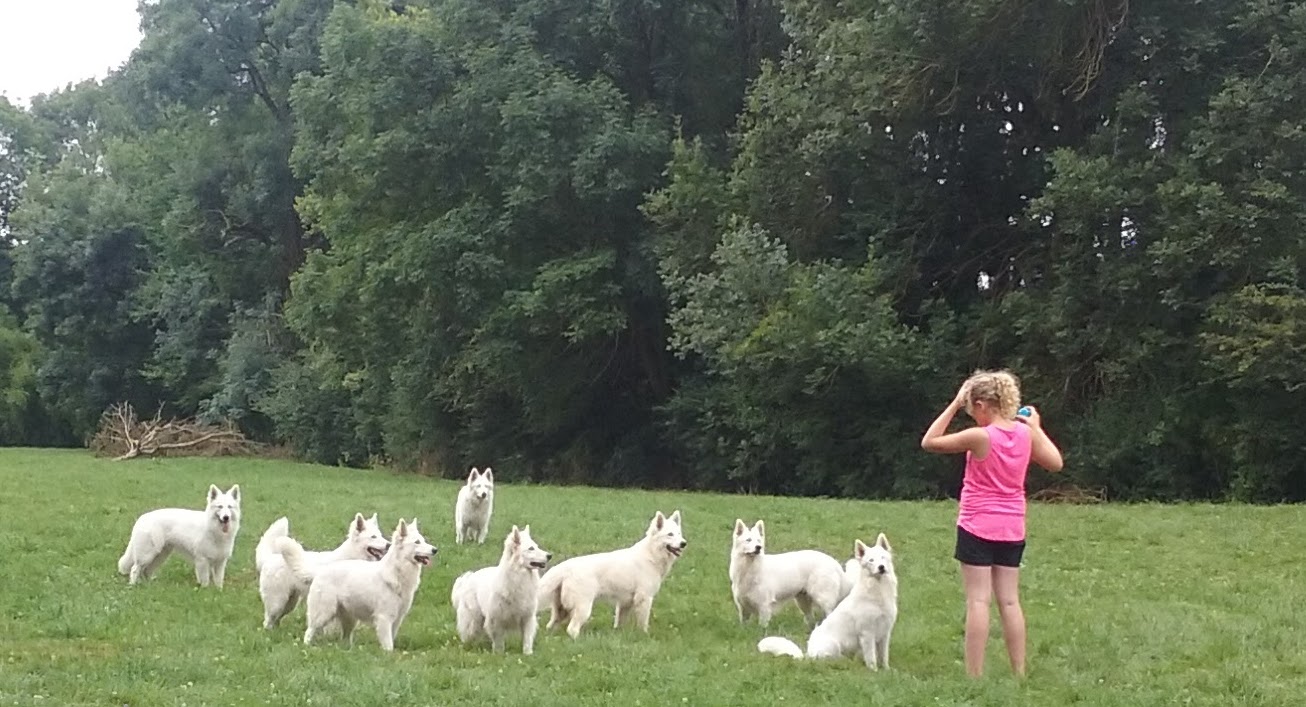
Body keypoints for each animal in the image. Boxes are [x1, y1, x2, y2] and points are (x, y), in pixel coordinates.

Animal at [253, 512, 386, 627]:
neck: (350, 557)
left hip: (289, 603)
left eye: (381, 536)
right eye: (373, 537)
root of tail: (270, 557)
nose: (388, 544)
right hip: (277, 603)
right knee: (268, 621)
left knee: (276, 620)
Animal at [280, 517, 438, 650]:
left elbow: (392, 641)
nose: (435, 550)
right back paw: (307, 647)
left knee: (345, 637)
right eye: (417, 542)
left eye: (423, 541)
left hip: (349, 619)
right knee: (309, 631)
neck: (397, 573)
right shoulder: (384, 618)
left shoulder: (397, 619)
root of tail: (321, 569)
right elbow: (388, 646)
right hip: (323, 613)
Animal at [757, 533, 898, 669]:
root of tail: (808, 654)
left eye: (883, 557)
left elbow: (884, 657)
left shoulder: (885, 633)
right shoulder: (867, 634)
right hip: (834, 644)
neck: (878, 593)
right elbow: (872, 659)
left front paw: (886, 671)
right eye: (871, 561)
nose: (881, 567)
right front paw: (874, 671)